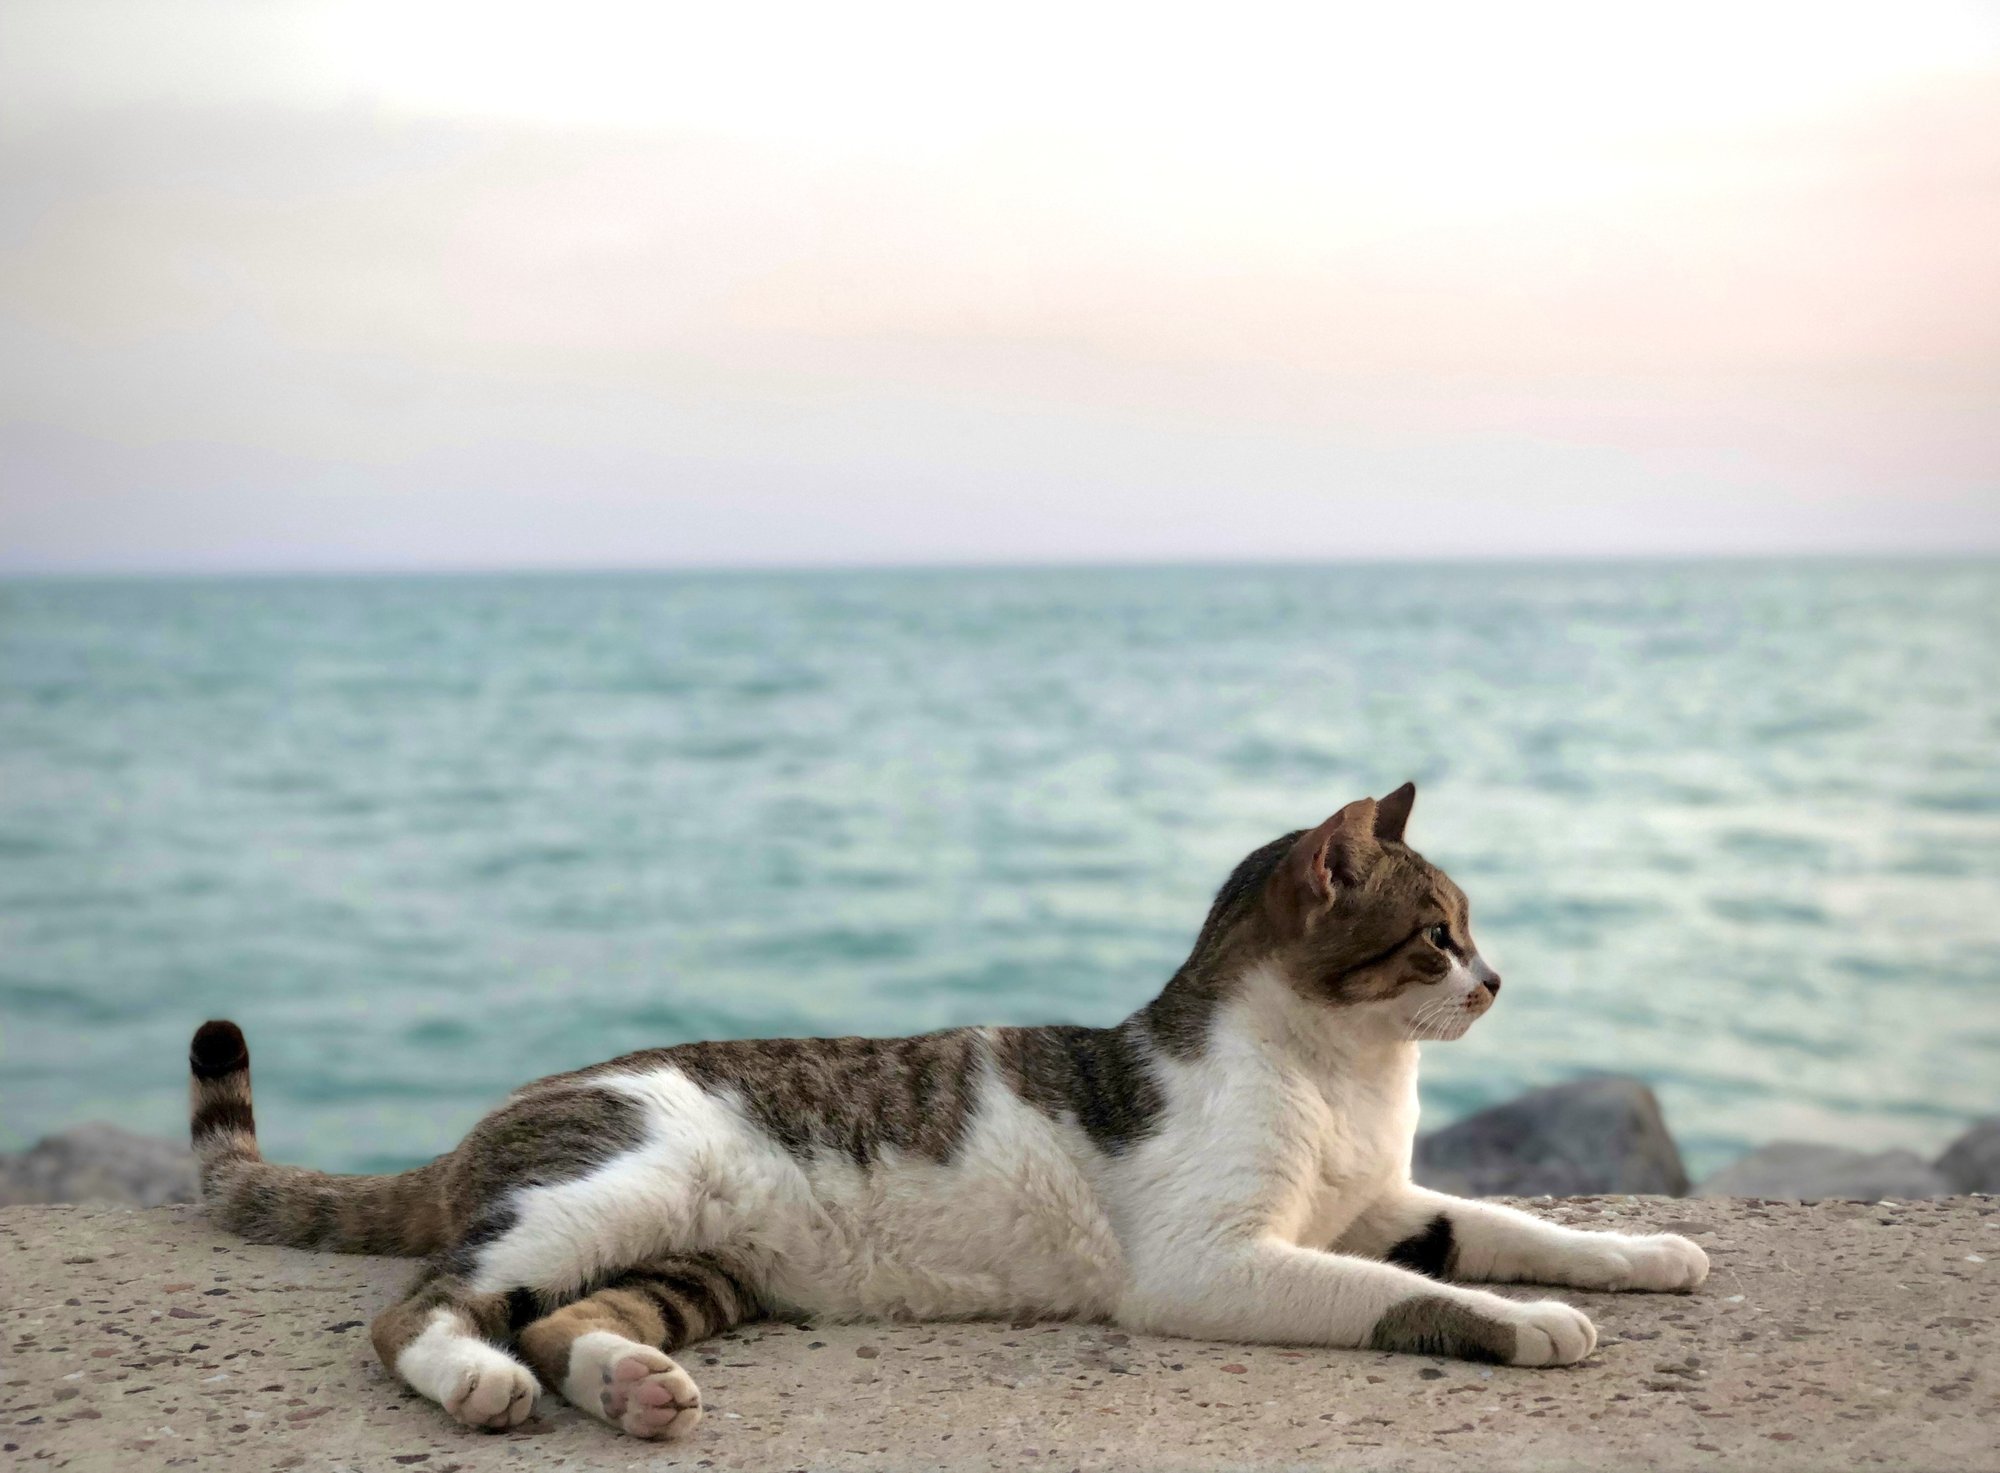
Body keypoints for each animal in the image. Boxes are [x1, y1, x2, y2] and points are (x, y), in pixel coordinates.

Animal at [188, 784, 1704, 1440]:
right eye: (1439, 936)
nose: (1498, 979)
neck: (1343, 1075)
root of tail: (488, 1120)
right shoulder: (1213, 1265)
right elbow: (1412, 1294)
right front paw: (1532, 1325)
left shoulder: (1380, 1202)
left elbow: (1507, 1223)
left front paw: (1640, 1255)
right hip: (599, 1192)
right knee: (421, 1309)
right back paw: (480, 1381)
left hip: (691, 1261)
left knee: (568, 1320)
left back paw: (629, 1386)